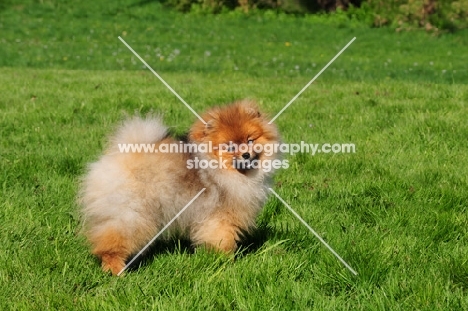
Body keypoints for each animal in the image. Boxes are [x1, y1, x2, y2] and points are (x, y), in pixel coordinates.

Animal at [78, 100, 280, 276]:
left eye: (250, 140)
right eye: (230, 148)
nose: (246, 154)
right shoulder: (220, 219)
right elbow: (223, 241)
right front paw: (227, 262)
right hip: (131, 214)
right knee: (112, 243)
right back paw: (117, 270)